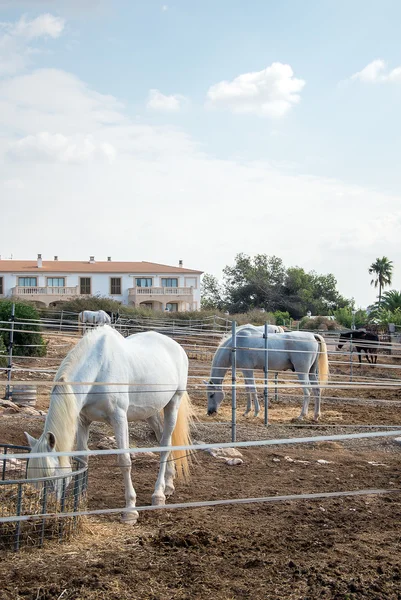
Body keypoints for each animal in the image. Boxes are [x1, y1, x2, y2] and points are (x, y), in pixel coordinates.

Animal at [25, 326, 194, 524]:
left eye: (51, 477)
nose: (38, 516)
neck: (98, 368)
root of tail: (177, 347)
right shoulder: (83, 420)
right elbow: (82, 459)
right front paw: (80, 498)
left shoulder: (119, 418)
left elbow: (124, 461)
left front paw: (130, 511)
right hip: (150, 412)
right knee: (162, 438)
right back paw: (169, 484)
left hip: (173, 404)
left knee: (165, 446)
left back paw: (158, 495)